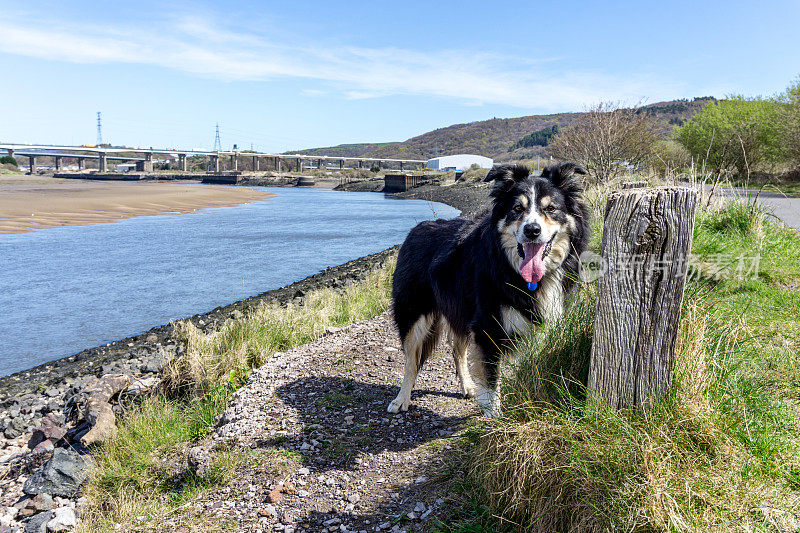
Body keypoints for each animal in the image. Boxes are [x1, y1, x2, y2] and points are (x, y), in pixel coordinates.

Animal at [388, 162, 588, 416]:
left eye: (551, 208)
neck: (513, 268)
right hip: (413, 311)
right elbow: (492, 379)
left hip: (461, 308)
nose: (532, 230)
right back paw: (401, 399)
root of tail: (416, 229)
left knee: (457, 350)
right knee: (411, 360)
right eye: (517, 208)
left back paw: (467, 386)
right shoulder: (487, 325)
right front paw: (495, 415)